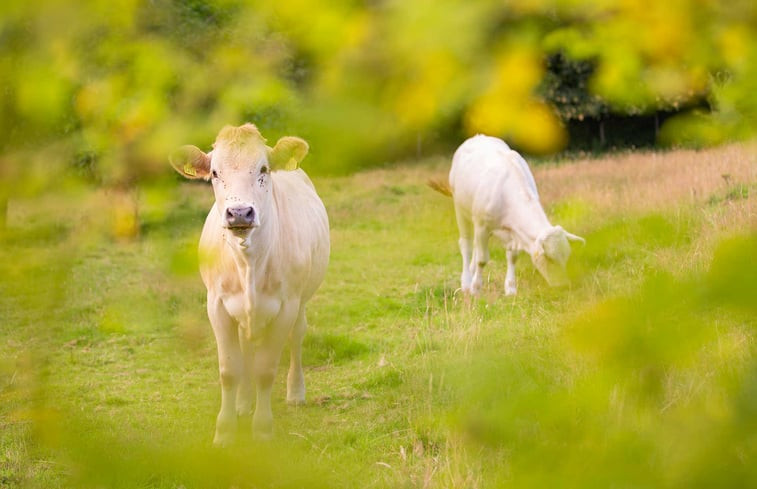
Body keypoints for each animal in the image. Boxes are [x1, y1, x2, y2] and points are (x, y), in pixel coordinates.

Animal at [170, 123, 330, 442]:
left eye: (263, 169)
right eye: (215, 172)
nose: (240, 213)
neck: (249, 262)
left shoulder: (286, 306)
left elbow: (265, 370)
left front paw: (263, 430)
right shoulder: (217, 305)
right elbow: (230, 369)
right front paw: (225, 431)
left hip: (301, 301)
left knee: (296, 337)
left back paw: (296, 392)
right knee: (245, 347)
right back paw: (244, 402)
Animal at [432, 134, 584, 294]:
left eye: (566, 257)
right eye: (549, 258)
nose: (564, 285)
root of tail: (477, 136)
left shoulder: (512, 231)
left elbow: (512, 257)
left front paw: (510, 289)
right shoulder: (482, 226)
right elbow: (482, 259)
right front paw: (475, 289)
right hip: (460, 209)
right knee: (466, 244)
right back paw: (466, 282)